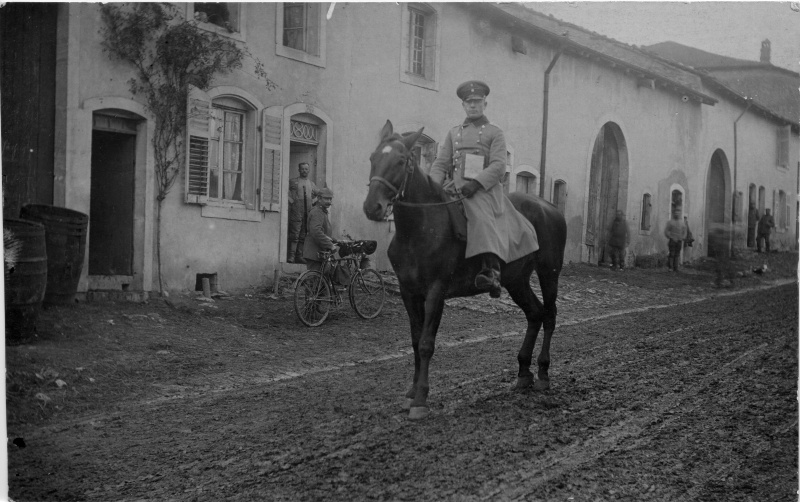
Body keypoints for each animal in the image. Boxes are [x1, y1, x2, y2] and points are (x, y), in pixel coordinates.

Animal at [362, 120, 568, 420]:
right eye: (373, 158)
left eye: (401, 160)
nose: (372, 207)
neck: (419, 229)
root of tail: (549, 206)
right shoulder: (408, 292)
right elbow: (414, 341)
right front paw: (411, 392)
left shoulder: (436, 292)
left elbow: (426, 343)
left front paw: (421, 398)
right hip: (516, 280)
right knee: (535, 314)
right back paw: (523, 371)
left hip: (549, 272)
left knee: (550, 315)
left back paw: (542, 372)